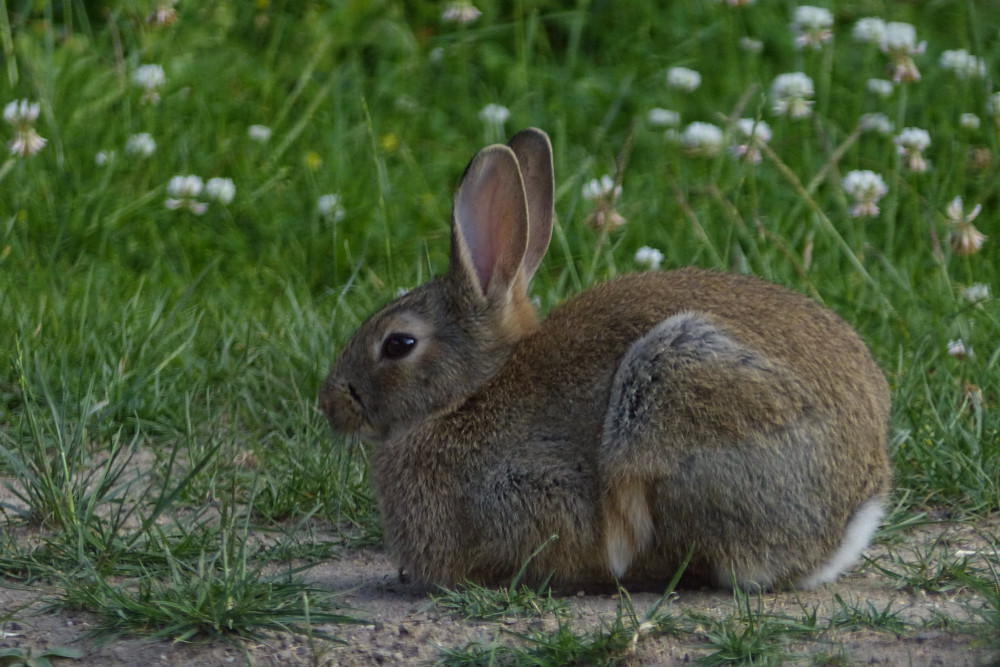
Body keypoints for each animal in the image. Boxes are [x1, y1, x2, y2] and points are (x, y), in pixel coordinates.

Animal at [320, 127, 891, 590]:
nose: (330, 405)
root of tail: (851, 511)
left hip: (669, 395)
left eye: (398, 344)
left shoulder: (534, 486)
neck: (469, 395)